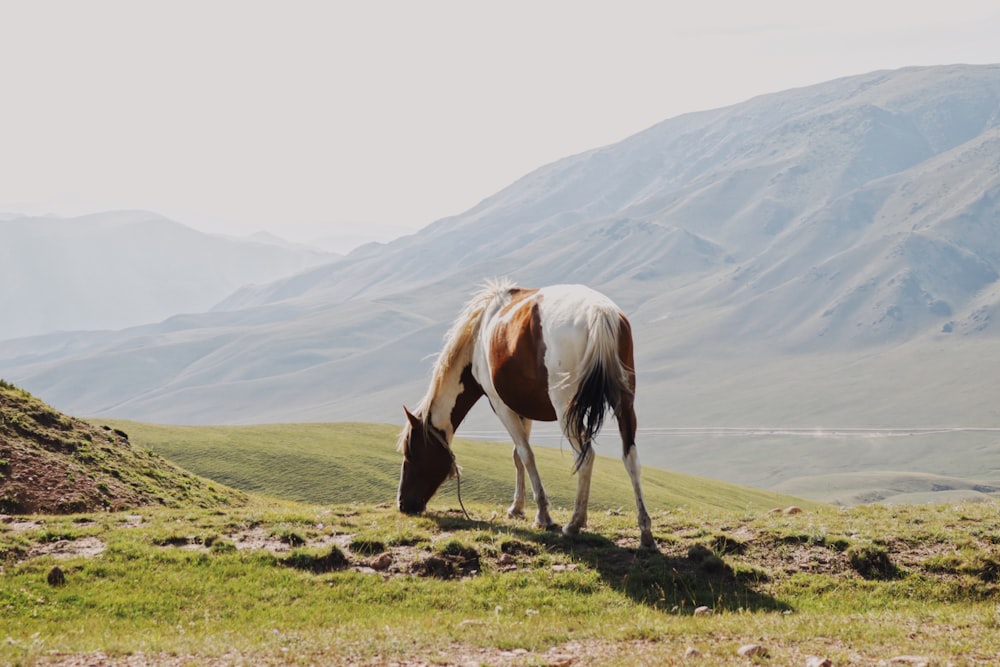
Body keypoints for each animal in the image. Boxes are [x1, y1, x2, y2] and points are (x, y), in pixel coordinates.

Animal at [394, 280, 660, 552]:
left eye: (410, 453)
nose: (403, 504)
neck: (480, 335)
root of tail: (600, 313)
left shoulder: (501, 406)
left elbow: (526, 454)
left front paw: (543, 515)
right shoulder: (523, 408)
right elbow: (517, 455)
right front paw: (517, 507)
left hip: (566, 409)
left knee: (585, 457)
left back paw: (574, 524)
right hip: (624, 403)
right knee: (630, 458)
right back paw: (645, 532)